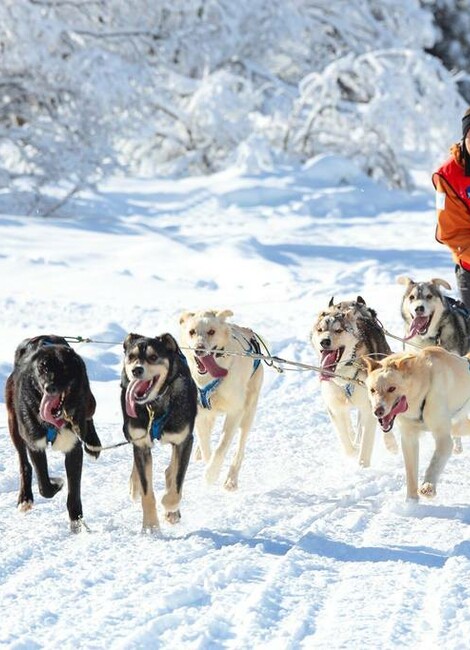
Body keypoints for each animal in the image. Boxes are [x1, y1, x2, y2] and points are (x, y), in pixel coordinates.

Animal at [5, 334, 101, 532]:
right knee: (24, 464)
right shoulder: (35, 445)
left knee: (89, 416)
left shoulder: (73, 449)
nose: (49, 387)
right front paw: (56, 484)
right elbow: (44, 486)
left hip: (89, 403)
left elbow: (74, 491)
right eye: (42, 367)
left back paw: (93, 444)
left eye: (64, 368)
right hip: (14, 426)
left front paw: (76, 520)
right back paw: (25, 497)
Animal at [120, 332, 197, 528]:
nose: (137, 370)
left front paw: (170, 508)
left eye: (153, 357)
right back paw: (134, 485)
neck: (155, 405)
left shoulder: (184, 441)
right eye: (132, 357)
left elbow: (177, 482)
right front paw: (150, 526)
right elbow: (147, 491)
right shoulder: (141, 444)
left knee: (171, 471)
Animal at [179, 308, 262, 486]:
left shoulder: (235, 412)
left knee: (240, 448)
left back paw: (231, 479)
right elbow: (205, 445)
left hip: (248, 412)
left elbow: (222, 446)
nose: (199, 349)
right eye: (192, 331)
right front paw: (208, 464)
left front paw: (212, 472)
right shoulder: (201, 413)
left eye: (212, 331)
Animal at [310, 294, 398, 466]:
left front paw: (363, 466)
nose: (324, 341)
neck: (344, 375)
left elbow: (366, 443)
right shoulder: (335, 407)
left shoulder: (369, 407)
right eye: (320, 330)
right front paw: (353, 452)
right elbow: (346, 441)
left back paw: (390, 442)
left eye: (338, 330)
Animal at [364, 346, 470, 498]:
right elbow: (411, 475)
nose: (377, 411)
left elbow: (434, 464)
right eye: (372, 390)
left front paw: (428, 486)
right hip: (457, 426)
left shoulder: (442, 437)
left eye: (392, 388)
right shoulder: (409, 439)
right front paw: (411, 501)